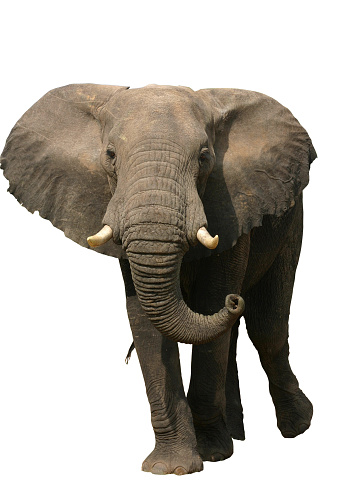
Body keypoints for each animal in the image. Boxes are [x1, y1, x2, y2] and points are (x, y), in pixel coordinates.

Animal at [0, 82, 318, 474]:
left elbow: (211, 299)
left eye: (204, 157)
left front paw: (211, 453)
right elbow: (143, 318)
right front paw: (171, 467)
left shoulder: (231, 202)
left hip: (290, 217)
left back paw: (296, 426)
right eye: (110, 156)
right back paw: (237, 434)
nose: (234, 301)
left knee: (266, 325)